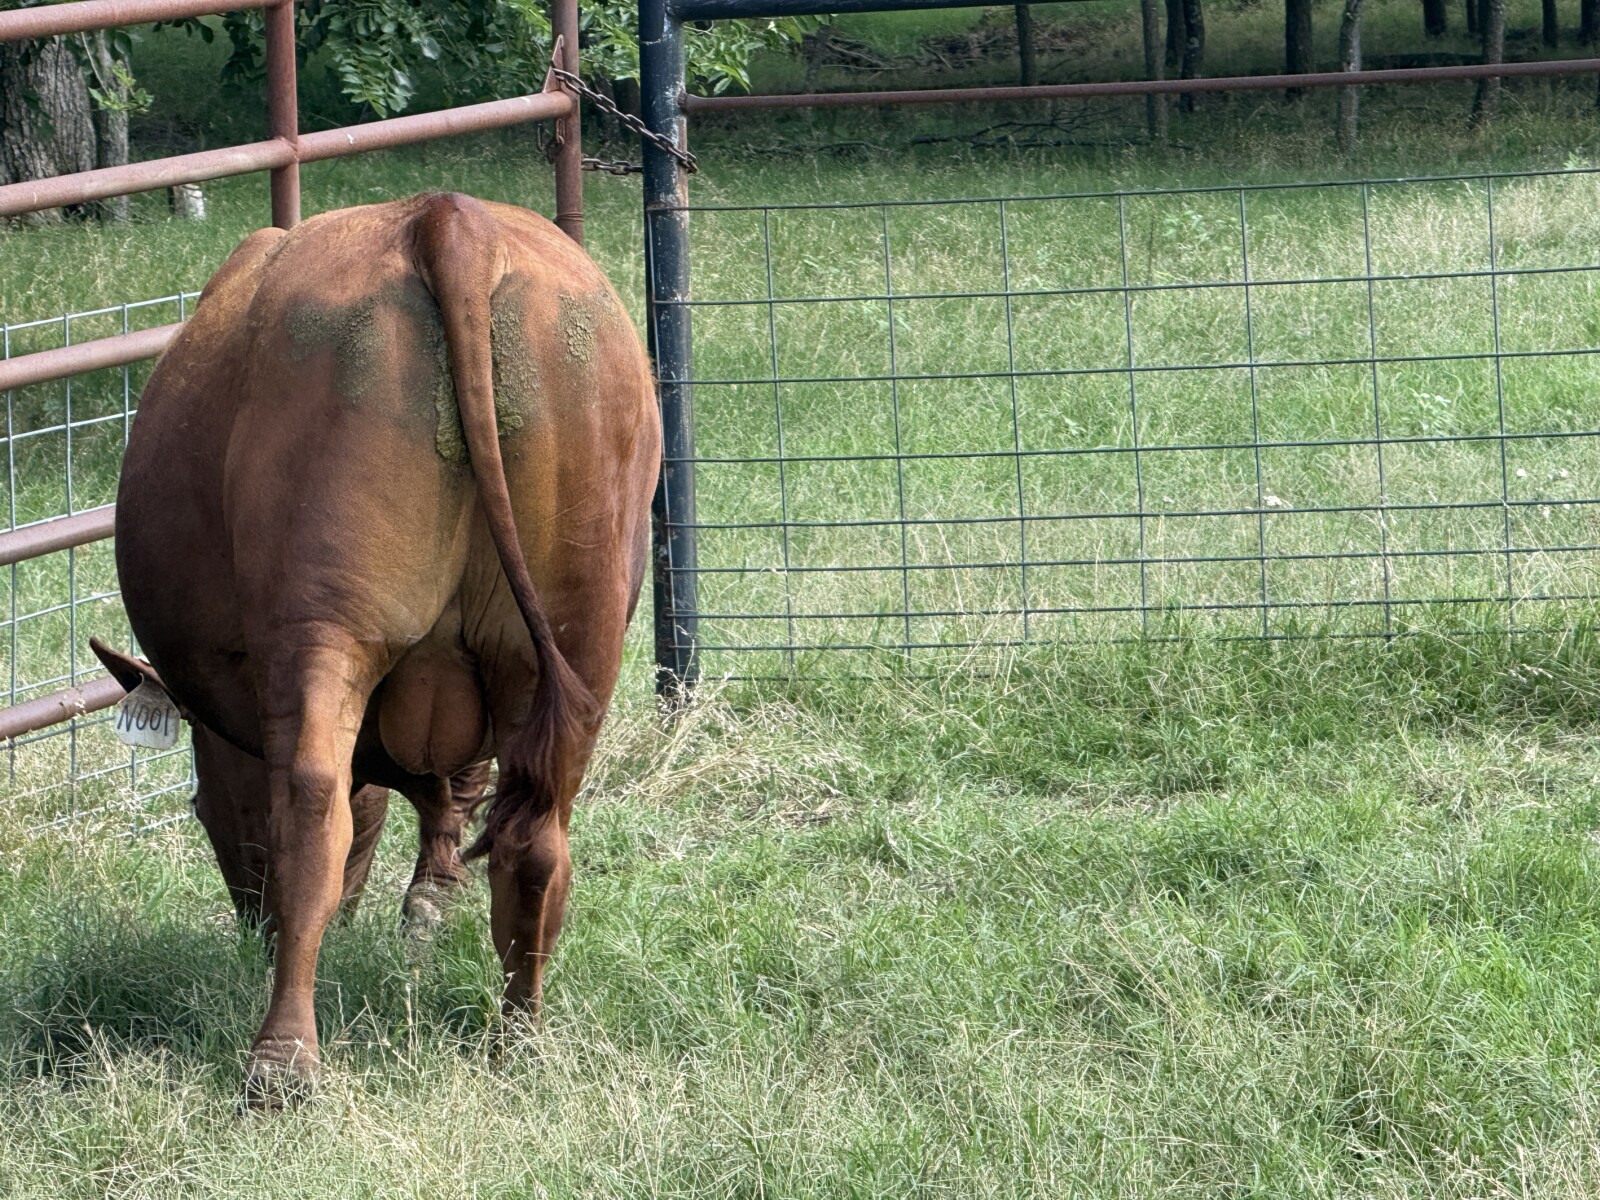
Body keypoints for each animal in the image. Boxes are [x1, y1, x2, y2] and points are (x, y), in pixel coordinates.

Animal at [104, 191, 661, 1107]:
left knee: (314, 805)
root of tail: (449, 218)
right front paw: (431, 905)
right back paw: (519, 1036)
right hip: (576, 635)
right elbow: (450, 799)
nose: (251, 924)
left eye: (202, 808)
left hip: (326, 622)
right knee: (539, 829)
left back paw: (281, 1061)